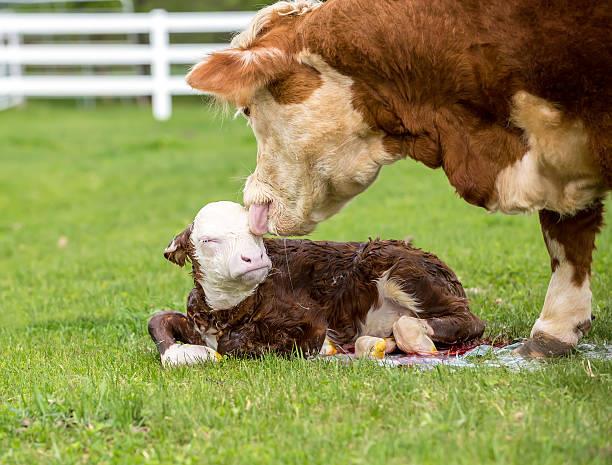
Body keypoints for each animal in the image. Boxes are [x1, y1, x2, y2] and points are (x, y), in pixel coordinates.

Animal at [148, 201, 482, 364]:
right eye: (208, 240)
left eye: (256, 232)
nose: (253, 258)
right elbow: (157, 319)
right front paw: (183, 353)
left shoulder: (310, 322)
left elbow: (235, 345)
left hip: (394, 264)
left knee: (467, 321)